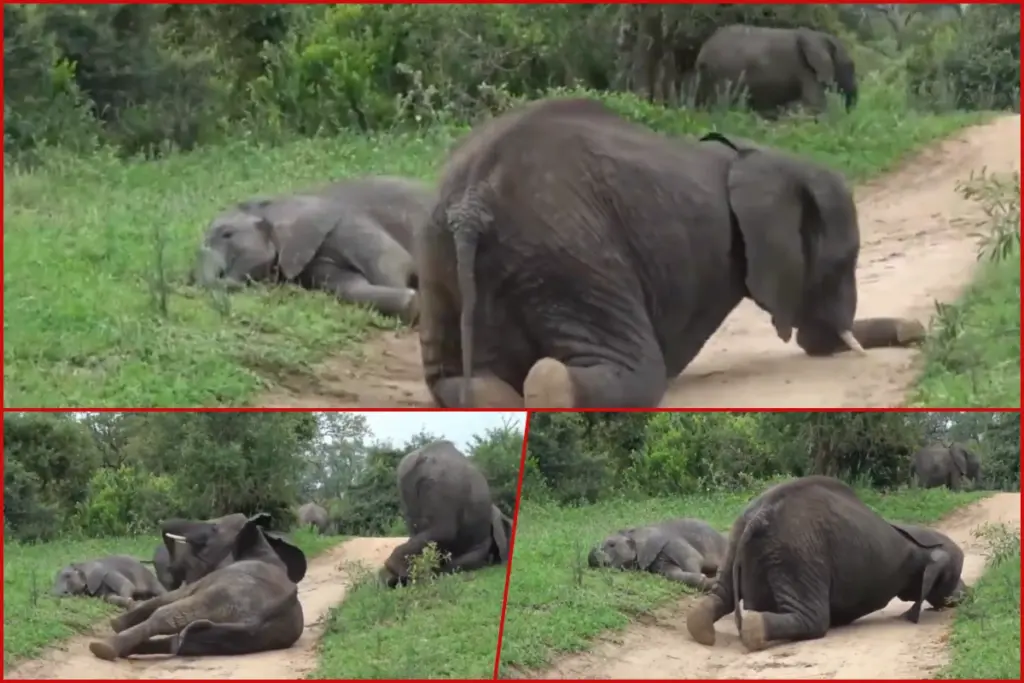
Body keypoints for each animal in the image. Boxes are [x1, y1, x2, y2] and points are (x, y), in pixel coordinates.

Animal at [87, 512, 307, 661]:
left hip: (228, 596)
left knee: (167, 616)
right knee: (186, 643)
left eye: (214, 528)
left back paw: (103, 648)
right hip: (250, 637)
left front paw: (116, 623)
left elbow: (170, 597)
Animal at [414, 96, 925, 408]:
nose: (917, 331)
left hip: (438, 259)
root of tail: (473, 202)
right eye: (842, 262)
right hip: (569, 256)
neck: (763, 156)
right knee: (640, 372)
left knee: (451, 379)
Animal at [587, 518, 728, 591]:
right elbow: (671, 573)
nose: (591, 556)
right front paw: (709, 581)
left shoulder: (670, 542)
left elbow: (694, 559)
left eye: (611, 544)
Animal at [685, 475, 966, 653]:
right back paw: (755, 630)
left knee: (722, 594)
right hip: (800, 553)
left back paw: (704, 630)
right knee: (816, 619)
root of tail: (760, 515)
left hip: (738, 539)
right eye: (953, 577)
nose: (966, 596)